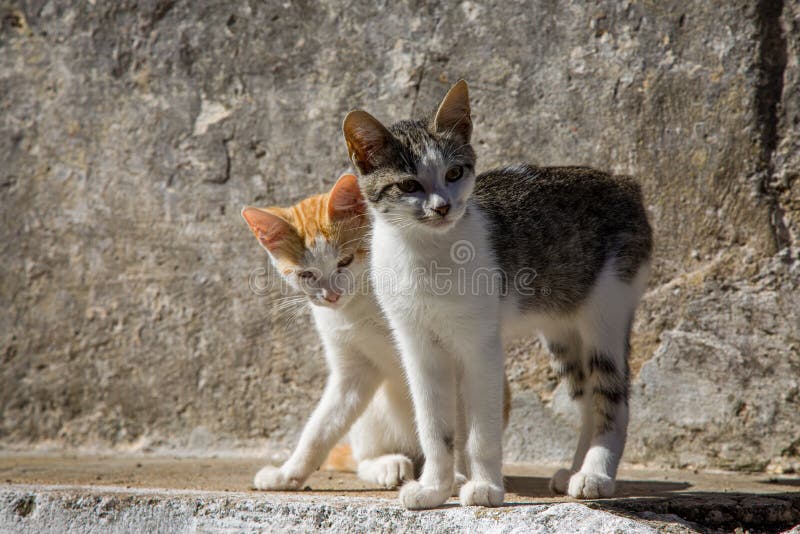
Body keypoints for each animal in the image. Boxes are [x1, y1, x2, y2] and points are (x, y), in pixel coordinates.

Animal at [241, 174, 512, 492]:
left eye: (345, 261)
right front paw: (287, 474)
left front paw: (451, 478)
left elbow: (452, 426)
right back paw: (387, 465)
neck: (358, 306)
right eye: (306, 275)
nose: (331, 296)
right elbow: (320, 427)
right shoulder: (352, 369)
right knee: (363, 458)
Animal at [340, 80, 652, 510]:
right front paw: (434, 488)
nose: (443, 207)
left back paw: (595, 474)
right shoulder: (419, 348)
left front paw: (485, 488)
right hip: (563, 332)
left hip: (606, 312)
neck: (426, 253)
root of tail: (625, 183)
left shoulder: (480, 347)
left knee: (613, 402)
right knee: (588, 399)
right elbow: (434, 427)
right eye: (408, 185)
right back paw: (575, 469)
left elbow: (481, 431)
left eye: (454, 172)